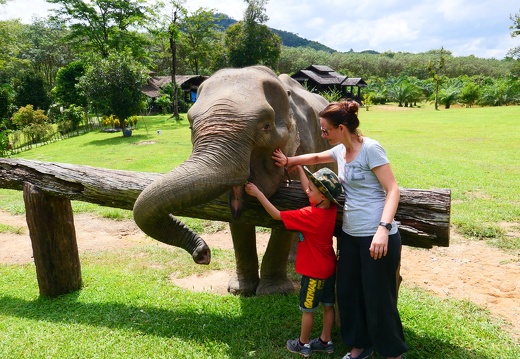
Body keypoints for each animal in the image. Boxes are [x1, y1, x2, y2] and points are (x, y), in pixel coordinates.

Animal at [132, 66, 332, 296]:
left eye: (265, 126)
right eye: (191, 126)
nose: (203, 254)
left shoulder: (303, 147)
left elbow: (287, 211)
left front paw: (273, 292)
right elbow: (236, 216)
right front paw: (240, 290)